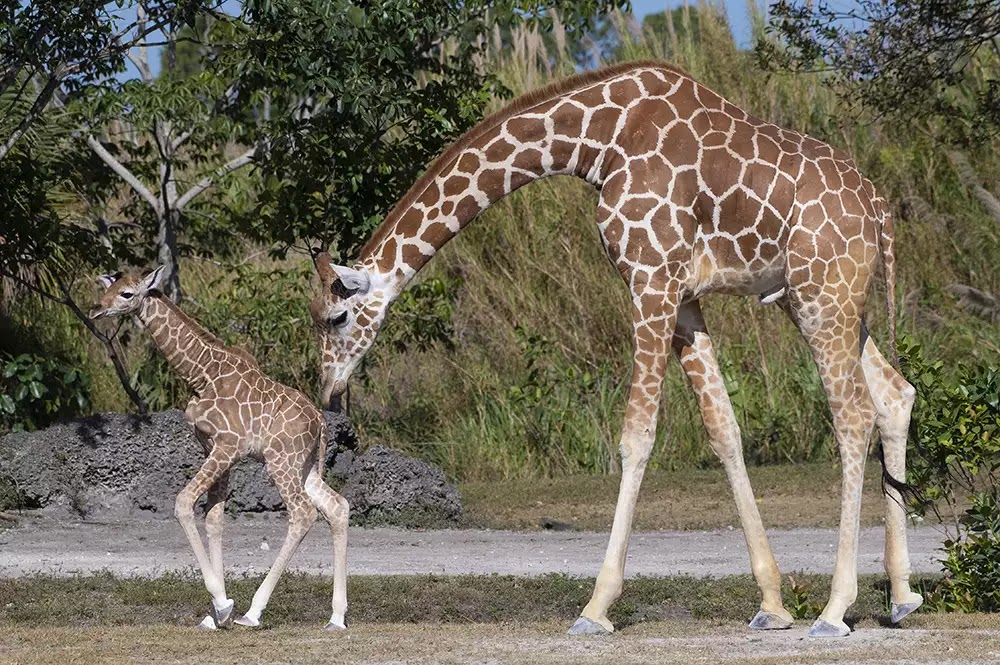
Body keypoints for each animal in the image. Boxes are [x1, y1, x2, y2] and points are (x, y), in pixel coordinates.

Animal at [90, 266, 349, 631]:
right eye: (109, 287)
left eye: (127, 294)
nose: (97, 308)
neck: (200, 374)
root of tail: (322, 424)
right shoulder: (214, 448)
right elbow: (214, 518)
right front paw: (215, 612)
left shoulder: (227, 447)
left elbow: (184, 503)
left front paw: (223, 605)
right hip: (306, 466)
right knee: (337, 507)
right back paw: (337, 617)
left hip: (281, 462)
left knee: (303, 513)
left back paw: (254, 612)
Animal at [309, 60, 923, 638]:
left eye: (336, 318)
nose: (329, 393)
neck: (597, 140)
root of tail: (880, 208)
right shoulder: (682, 296)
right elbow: (722, 427)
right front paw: (772, 604)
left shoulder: (650, 280)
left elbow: (636, 435)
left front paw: (596, 607)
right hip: (824, 299)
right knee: (895, 394)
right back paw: (901, 596)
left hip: (823, 293)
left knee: (853, 415)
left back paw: (836, 608)